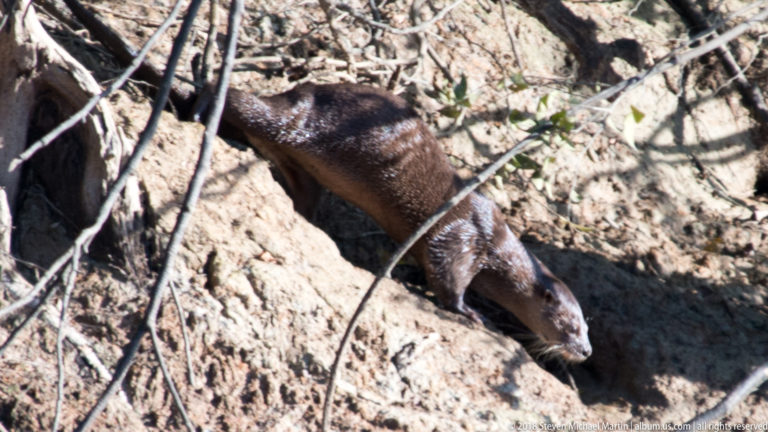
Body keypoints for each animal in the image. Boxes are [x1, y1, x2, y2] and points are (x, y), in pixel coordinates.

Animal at [203, 82, 591, 362]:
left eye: (588, 328)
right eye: (571, 326)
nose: (586, 351)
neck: (494, 244)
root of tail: (304, 90)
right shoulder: (462, 237)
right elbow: (446, 274)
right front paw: (471, 312)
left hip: (301, 164)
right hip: (297, 121)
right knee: (247, 103)